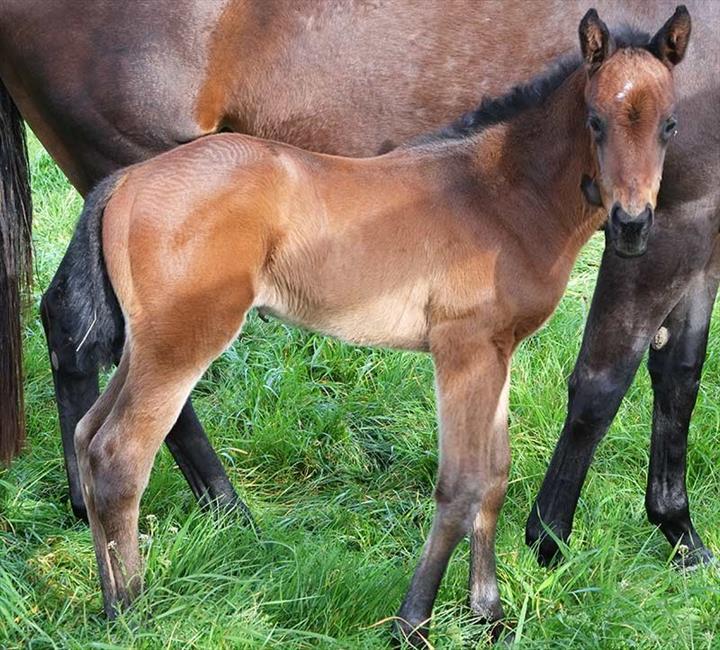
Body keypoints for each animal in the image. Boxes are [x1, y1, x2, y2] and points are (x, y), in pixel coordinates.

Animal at [0, 1, 716, 560]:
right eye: (595, 122)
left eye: (670, 124)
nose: (629, 224)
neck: (499, 183)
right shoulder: (674, 222)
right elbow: (601, 381)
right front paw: (549, 541)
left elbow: (679, 374)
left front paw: (680, 533)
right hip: (131, 188)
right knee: (128, 406)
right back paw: (212, 522)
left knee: (74, 331)